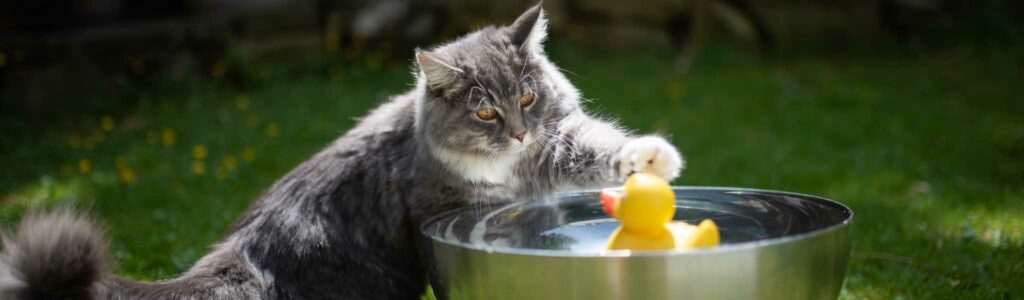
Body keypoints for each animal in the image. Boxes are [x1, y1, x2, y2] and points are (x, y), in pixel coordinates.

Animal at [4, 4, 684, 296]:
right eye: (484, 110)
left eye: (525, 96)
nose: (518, 132)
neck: (507, 166)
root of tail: (233, 261)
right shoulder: (436, 207)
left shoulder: (551, 149)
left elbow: (597, 148)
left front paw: (653, 159)